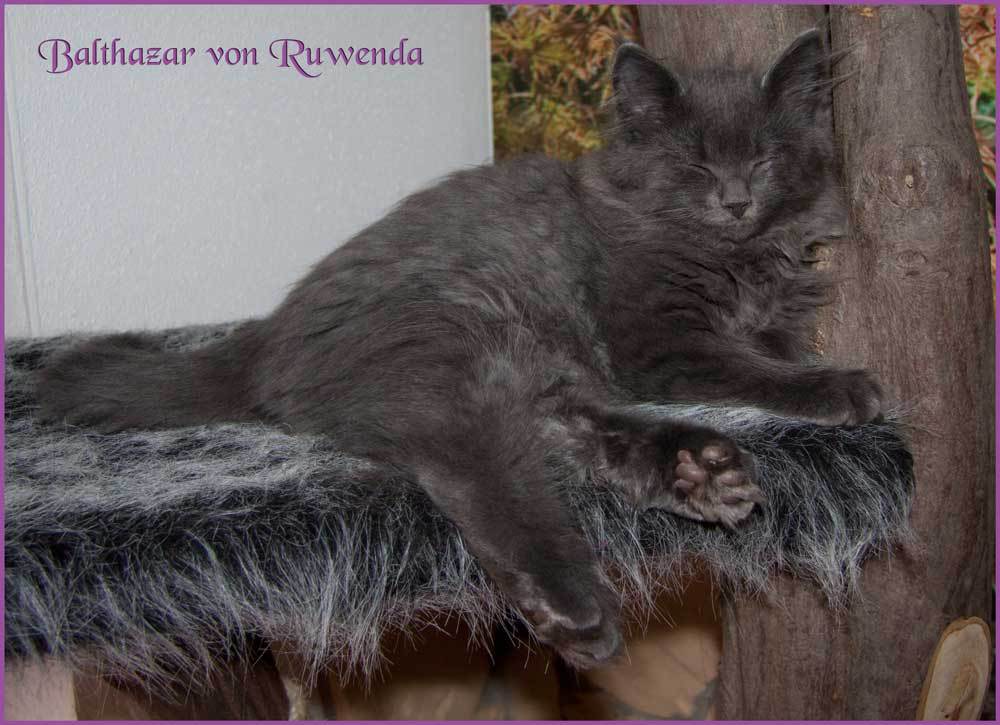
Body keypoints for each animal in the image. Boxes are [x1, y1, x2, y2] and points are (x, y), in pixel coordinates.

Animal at [35, 29, 882, 668]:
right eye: (695, 164)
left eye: (765, 160)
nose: (736, 199)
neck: (728, 253)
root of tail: (265, 339)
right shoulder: (656, 341)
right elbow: (753, 366)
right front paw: (839, 385)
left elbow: (769, 344)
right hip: (457, 346)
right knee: (477, 473)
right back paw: (574, 604)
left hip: (523, 363)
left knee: (562, 438)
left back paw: (698, 472)